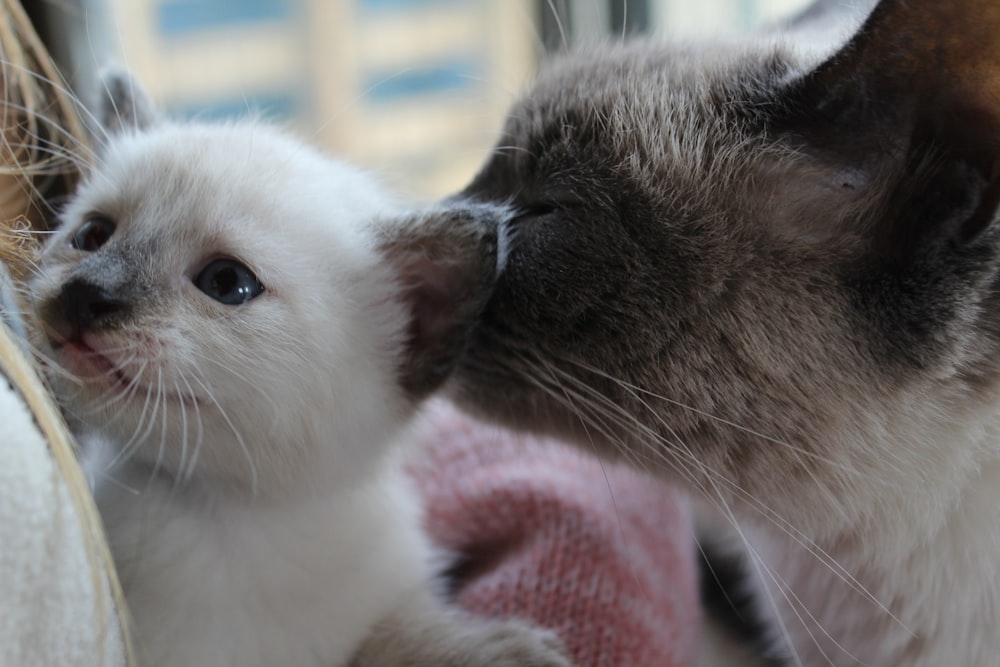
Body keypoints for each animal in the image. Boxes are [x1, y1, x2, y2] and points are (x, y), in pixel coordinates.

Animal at [29, 72, 572, 667]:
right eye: (92, 236)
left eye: (227, 283)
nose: (84, 295)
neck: (241, 523)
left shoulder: (379, 609)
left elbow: (398, 635)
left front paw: (505, 650)